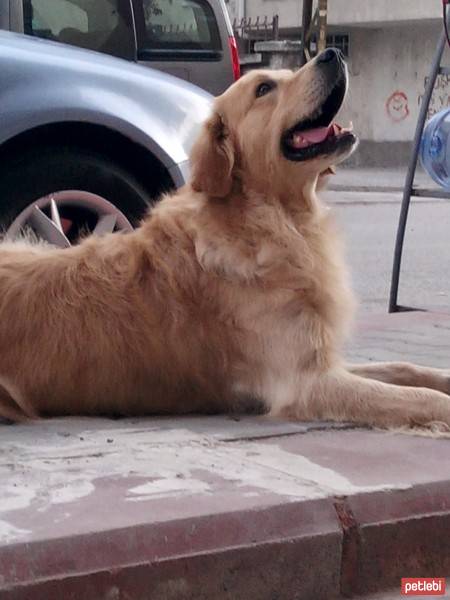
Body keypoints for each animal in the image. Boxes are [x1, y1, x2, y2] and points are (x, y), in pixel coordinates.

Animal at [0, 49, 450, 428]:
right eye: (264, 88)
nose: (332, 53)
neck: (275, 220)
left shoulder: (322, 359)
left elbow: (407, 369)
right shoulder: (304, 382)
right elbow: (419, 396)